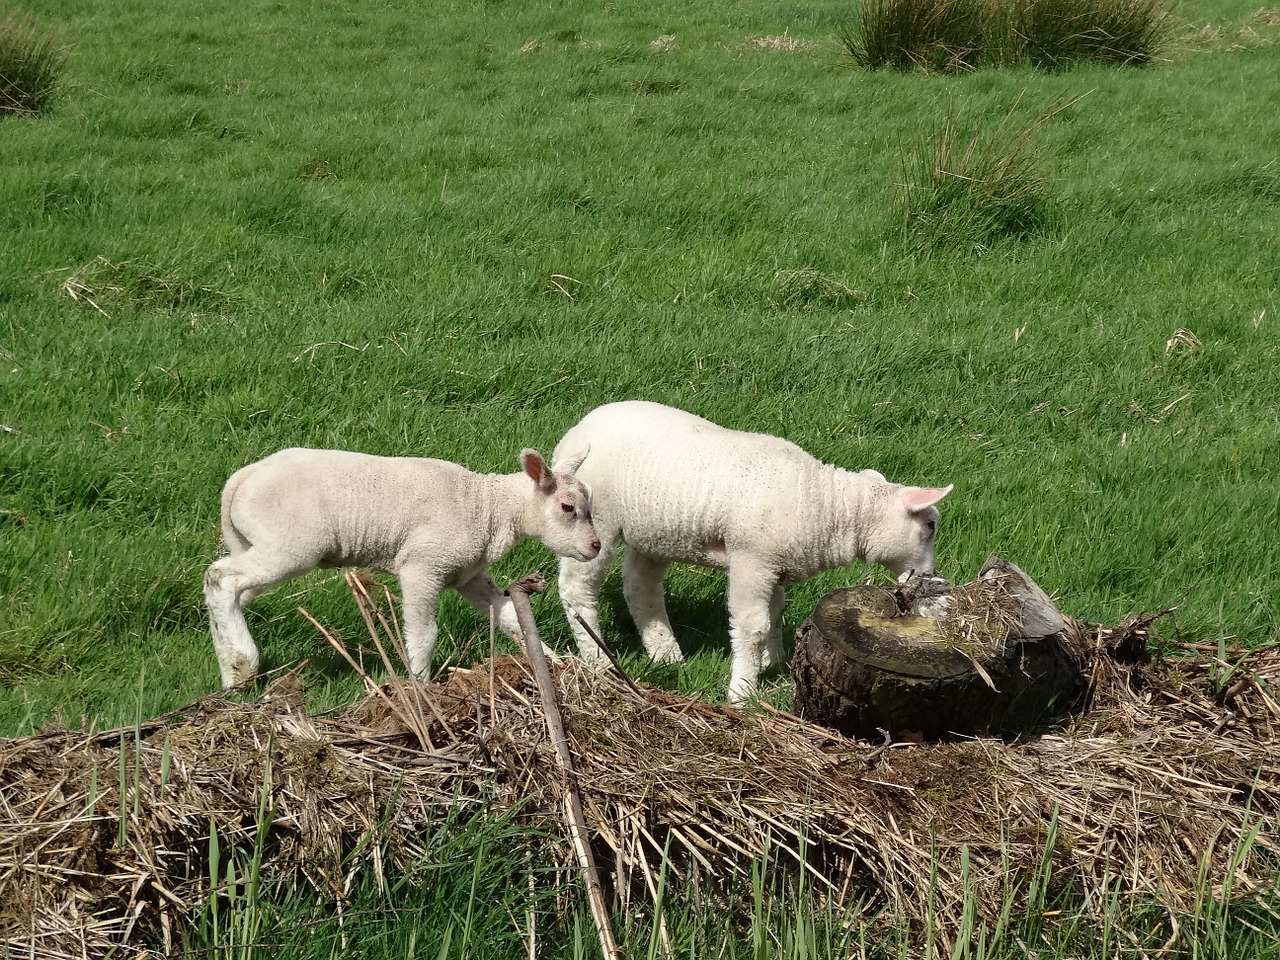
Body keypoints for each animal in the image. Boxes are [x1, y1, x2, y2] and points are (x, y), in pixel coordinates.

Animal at [203, 448, 599, 686]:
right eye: (567, 507)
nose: (595, 546)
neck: (487, 506)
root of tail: (240, 479)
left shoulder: (468, 574)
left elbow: (511, 618)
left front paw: (552, 663)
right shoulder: (422, 565)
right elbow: (424, 633)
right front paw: (421, 684)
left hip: (259, 543)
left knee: (221, 586)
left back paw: (230, 670)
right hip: (290, 544)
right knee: (223, 579)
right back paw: (244, 662)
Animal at [555, 399, 957, 706]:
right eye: (930, 526)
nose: (933, 578)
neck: (825, 506)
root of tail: (574, 435)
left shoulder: (777, 565)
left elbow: (776, 612)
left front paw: (775, 664)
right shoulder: (752, 559)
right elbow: (754, 626)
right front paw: (743, 691)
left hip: (654, 533)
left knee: (641, 588)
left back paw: (666, 654)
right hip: (596, 525)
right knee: (578, 589)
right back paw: (595, 658)